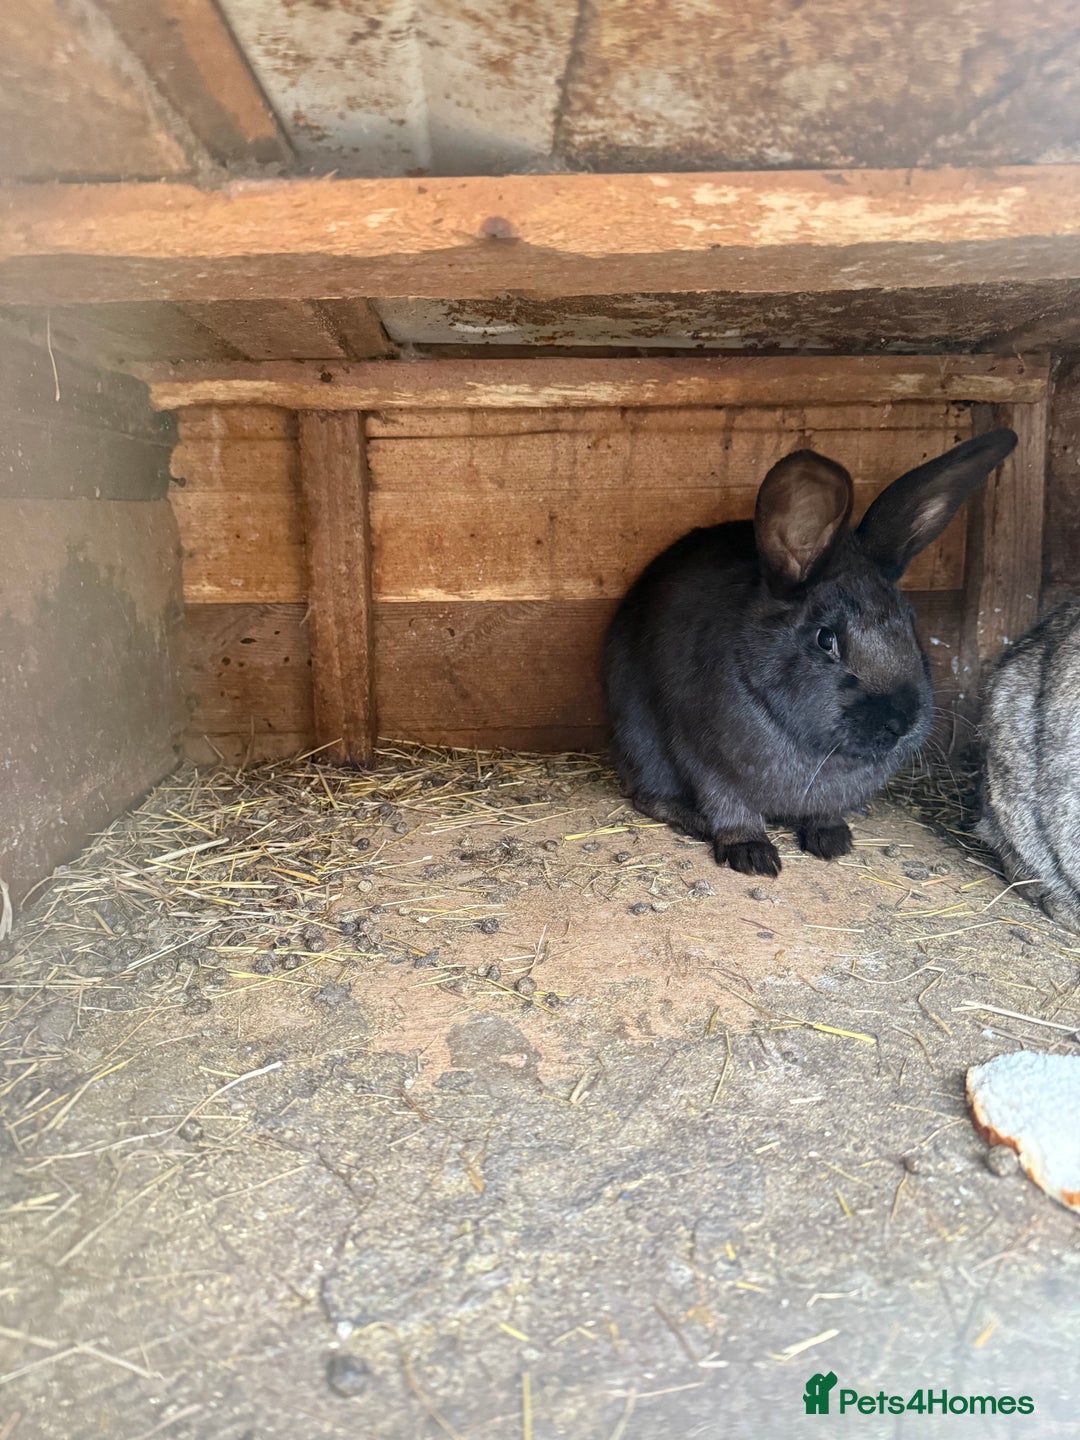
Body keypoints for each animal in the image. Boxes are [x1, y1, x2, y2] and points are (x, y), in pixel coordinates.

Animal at [602, 427, 1018, 877]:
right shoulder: (708, 766)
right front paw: (753, 856)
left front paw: (833, 841)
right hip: (639, 742)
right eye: (825, 639)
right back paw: (694, 821)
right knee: (649, 796)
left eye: (911, 623)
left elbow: (824, 814)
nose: (900, 721)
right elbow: (731, 810)